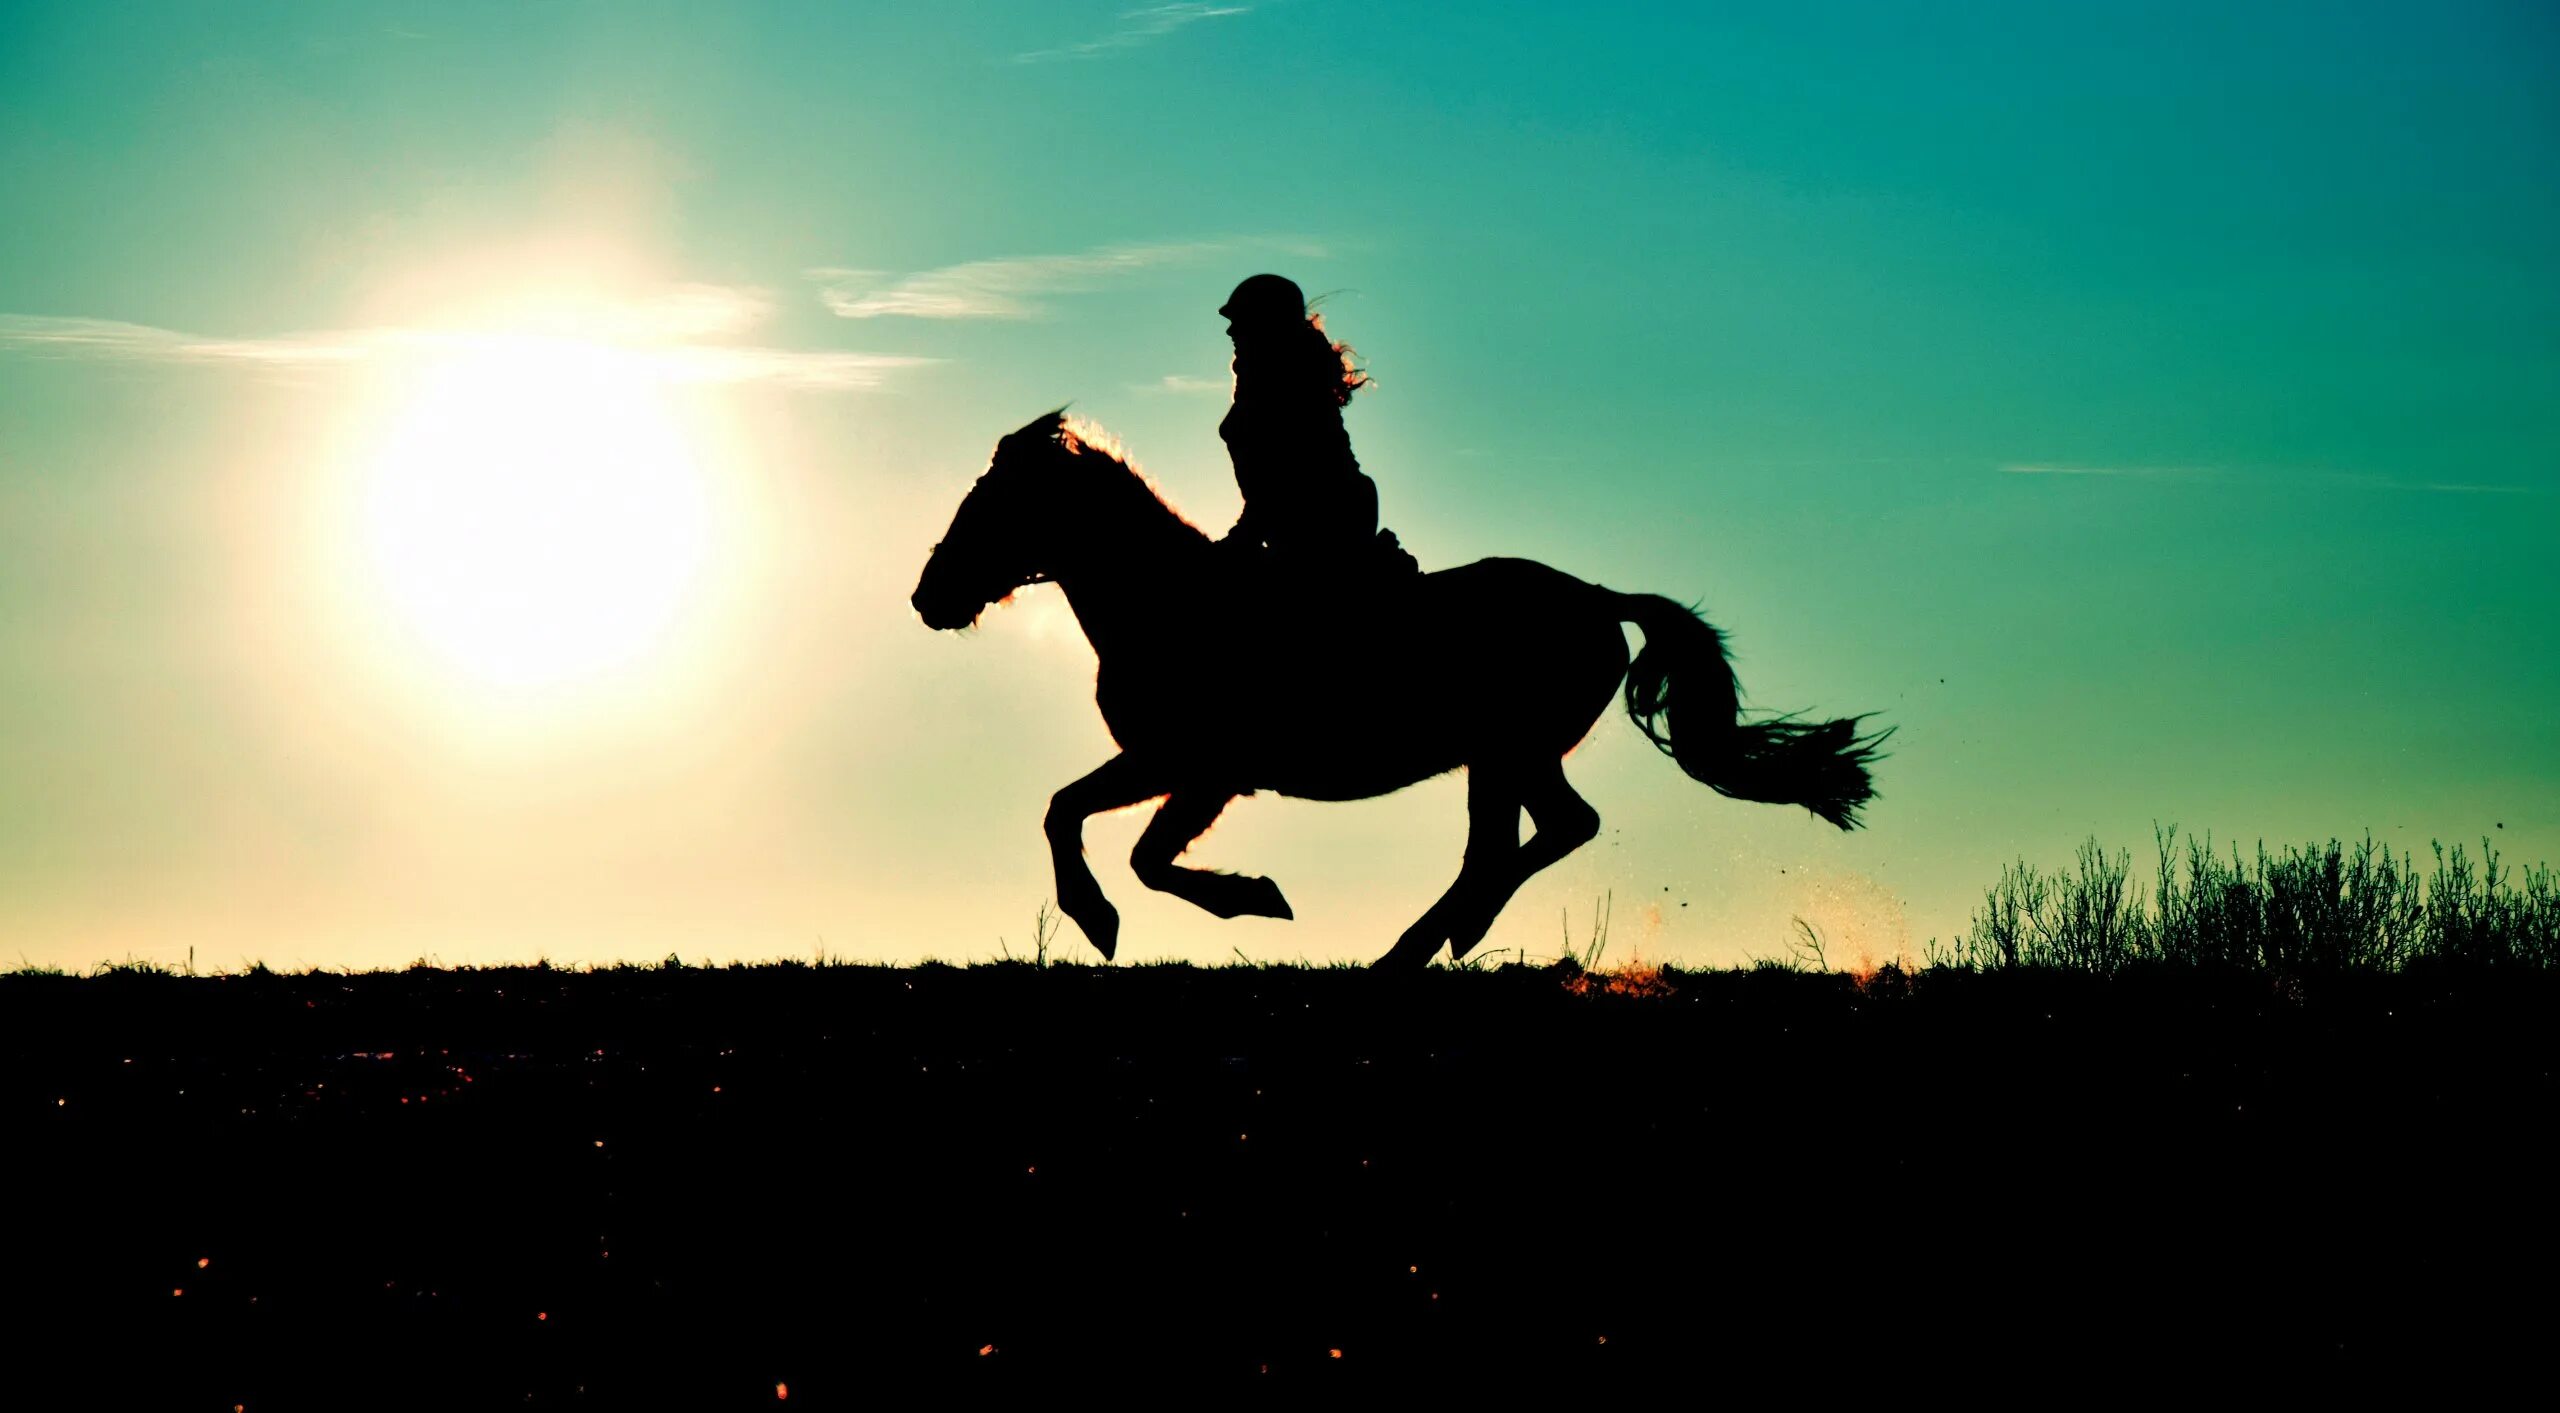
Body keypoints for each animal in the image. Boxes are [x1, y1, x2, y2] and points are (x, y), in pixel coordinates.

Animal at [911, 409, 1894, 972]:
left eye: (993, 501)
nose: (928, 596)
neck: (1169, 601)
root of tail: (1595, 596)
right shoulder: (1168, 763)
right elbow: (1068, 811)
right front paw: (1110, 915)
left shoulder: (1202, 769)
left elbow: (1134, 850)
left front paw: (1235, 900)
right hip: (1507, 756)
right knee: (1534, 835)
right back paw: (1437, 940)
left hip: (1507, 749)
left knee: (1527, 841)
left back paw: (1419, 946)